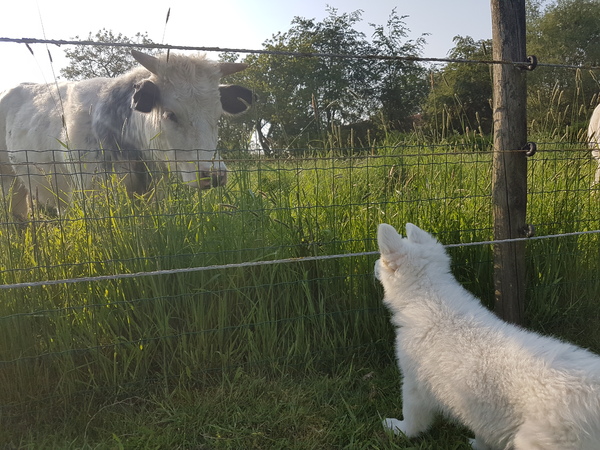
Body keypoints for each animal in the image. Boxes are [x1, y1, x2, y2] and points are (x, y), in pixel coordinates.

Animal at [378, 223, 600, 448]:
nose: (375, 265)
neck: (430, 295)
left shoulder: (413, 382)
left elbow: (412, 416)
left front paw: (398, 429)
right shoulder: (481, 412)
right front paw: (478, 445)